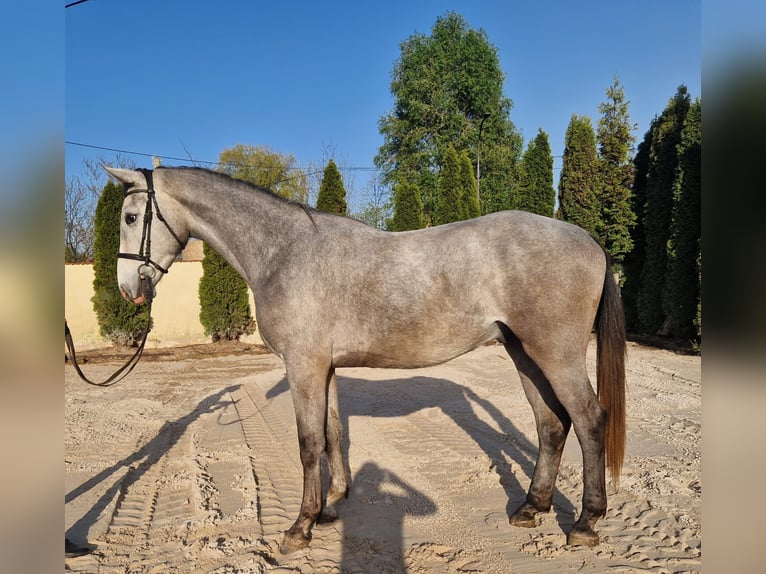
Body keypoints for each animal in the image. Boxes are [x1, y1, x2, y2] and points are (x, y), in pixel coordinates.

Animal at [105, 165, 626, 554]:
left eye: (130, 217)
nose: (129, 289)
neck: (283, 252)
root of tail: (587, 239)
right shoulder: (325, 367)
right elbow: (333, 433)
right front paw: (331, 507)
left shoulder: (304, 366)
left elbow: (308, 443)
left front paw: (300, 527)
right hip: (523, 352)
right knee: (551, 424)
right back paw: (531, 508)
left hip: (555, 353)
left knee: (589, 419)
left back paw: (585, 522)